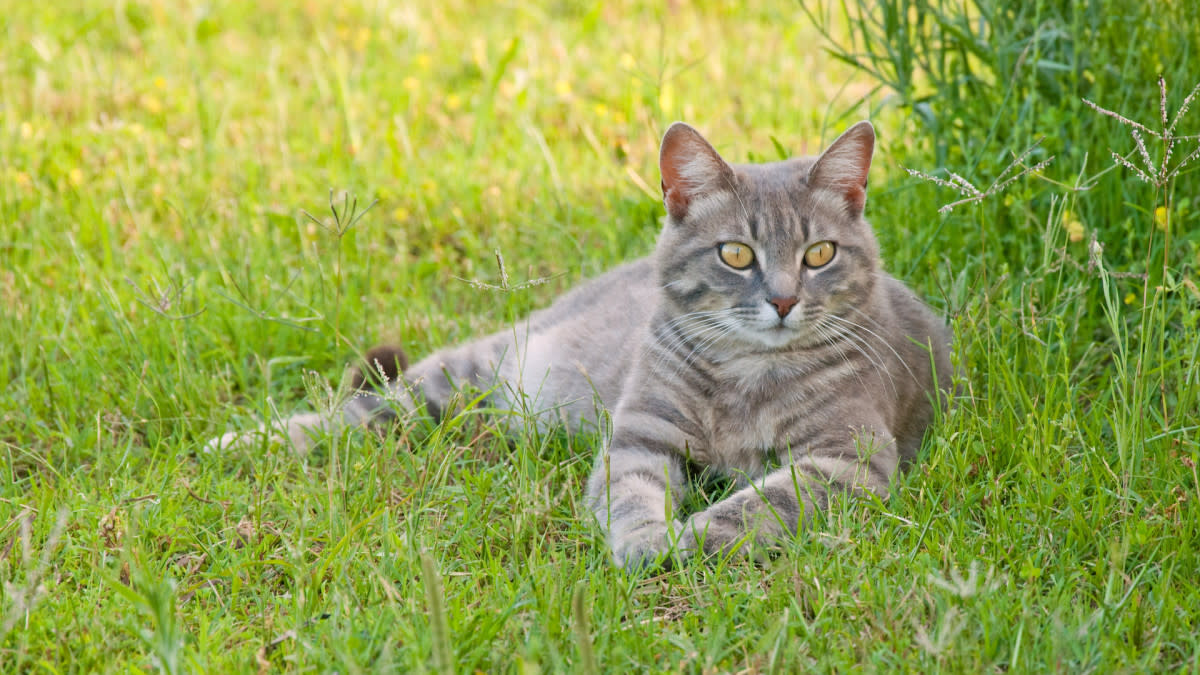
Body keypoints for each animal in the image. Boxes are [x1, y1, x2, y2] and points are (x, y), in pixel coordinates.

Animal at [208, 121, 955, 566]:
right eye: (737, 254)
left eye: (820, 253)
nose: (782, 299)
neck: (748, 373)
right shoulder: (642, 433)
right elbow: (630, 494)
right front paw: (645, 541)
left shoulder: (847, 459)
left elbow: (753, 505)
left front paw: (687, 536)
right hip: (468, 375)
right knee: (369, 408)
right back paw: (244, 442)